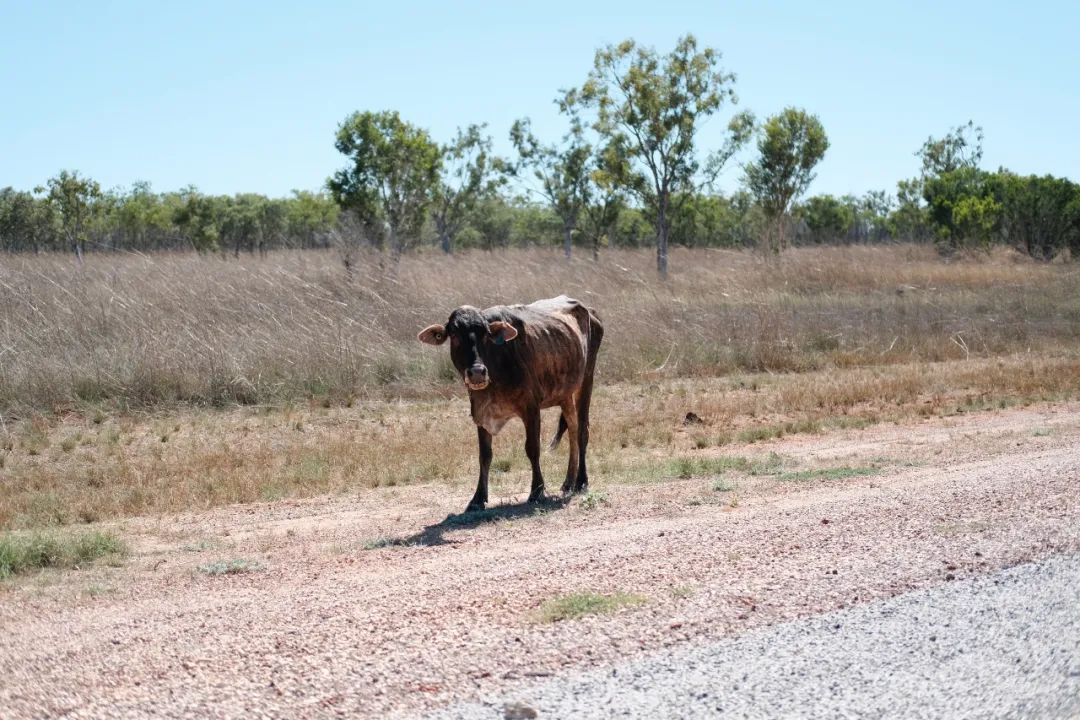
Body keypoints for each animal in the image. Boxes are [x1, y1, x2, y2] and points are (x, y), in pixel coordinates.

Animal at [416, 293, 604, 511]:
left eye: (485, 334)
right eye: (454, 335)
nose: (477, 372)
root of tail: (589, 310)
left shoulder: (531, 408)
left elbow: (532, 448)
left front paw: (537, 490)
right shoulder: (480, 412)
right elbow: (485, 455)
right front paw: (478, 498)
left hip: (586, 379)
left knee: (582, 430)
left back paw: (581, 480)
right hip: (565, 393)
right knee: (572, 428)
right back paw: (568, 481)